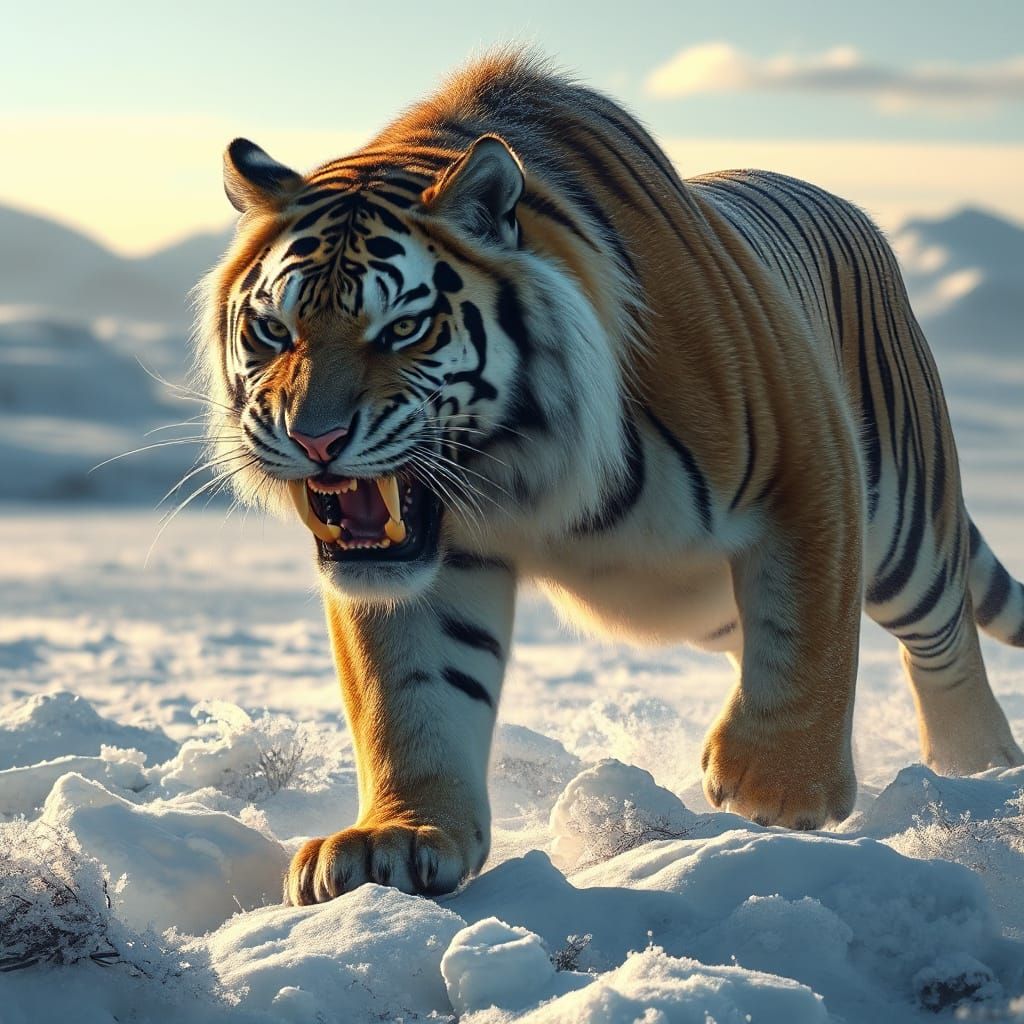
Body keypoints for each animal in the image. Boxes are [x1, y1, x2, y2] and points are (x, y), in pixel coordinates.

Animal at [195, 50, 1024, 905]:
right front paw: (397, 839)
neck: (522, 474)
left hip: (905, 527)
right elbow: (411, 691)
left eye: (404, 328)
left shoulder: (806, 456)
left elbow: (806, 632)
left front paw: (777, 791)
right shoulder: (420, 560)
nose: (314, 438)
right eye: (273, 330)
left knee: (942, 637)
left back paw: (979, 768)